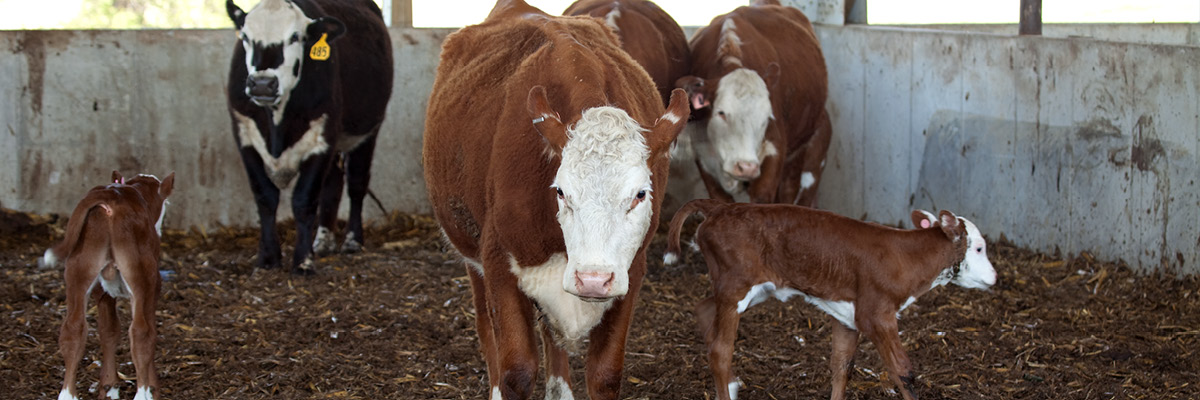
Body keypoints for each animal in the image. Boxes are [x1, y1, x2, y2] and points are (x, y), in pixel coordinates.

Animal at [44, 171, 175, 398]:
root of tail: (109, 195)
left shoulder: (101, 292)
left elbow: (109, 330)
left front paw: (109, 388)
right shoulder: (154, 287)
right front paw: (153, 389)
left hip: (80, 265)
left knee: (73, 329)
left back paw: (68, 394)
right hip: (141, 272)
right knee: (141, 332)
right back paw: (142, 394)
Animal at [225, 0, 393, 272]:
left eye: (295, 37)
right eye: (246, 37)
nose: (262, 83)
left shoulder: (321, 139)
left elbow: (304, 200)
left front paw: (302, 261)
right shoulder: (244, 137)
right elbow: (265, 197)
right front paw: (268, 258)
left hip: (367, 132)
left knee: (356, 184)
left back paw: (352, 240)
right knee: (333, 185)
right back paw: (323, 240)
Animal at [424, 0, 691, 396]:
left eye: (640, 194)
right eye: (562, 192)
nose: (593, 279)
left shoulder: (633, 269)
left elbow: (605, 373)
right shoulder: (498, 261)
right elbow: (516, 370)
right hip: (470, 252)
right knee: (487, 331)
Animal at [667, 199, 993, 398]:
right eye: (979, 248)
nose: (994, 276)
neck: (907, 257)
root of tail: (720, 208)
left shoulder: (847, 317)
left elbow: (841, 366)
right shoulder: (876, 315)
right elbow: (903, 370)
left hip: (749, 289)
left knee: (704, 311)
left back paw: (732, 384)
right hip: (736, 286)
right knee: (720, 351)